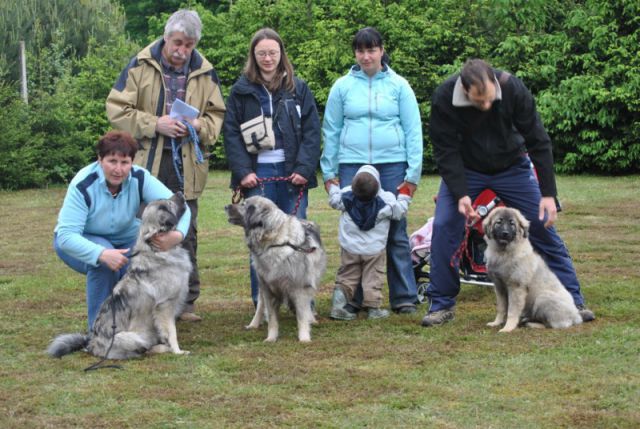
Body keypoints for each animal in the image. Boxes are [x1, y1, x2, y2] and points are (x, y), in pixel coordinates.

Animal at [47, 193, 190, 358]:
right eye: (167, 206)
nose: (180, 193)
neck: (157, 252)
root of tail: (90, 344)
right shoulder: (165, 306)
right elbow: (171, 332)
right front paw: (177, 351)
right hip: (133, 337)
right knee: (143, 350)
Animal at [225, 196, 324, 342]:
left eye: (244, 204)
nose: (226, 206)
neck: (275, 242)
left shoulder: (299, 289)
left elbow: (301, 316)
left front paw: (304, 337)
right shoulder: (268, 289)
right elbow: (272, 319)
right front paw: (271, 338)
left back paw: (311, 318)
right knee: (260, 306)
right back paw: (254, 324)